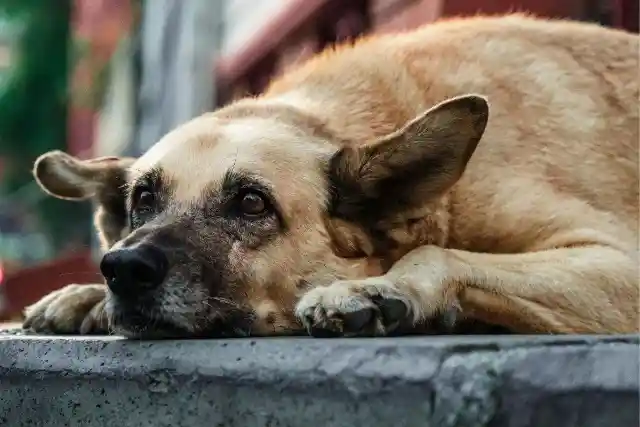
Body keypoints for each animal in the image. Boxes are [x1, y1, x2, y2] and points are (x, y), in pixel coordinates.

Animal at [22, 15, 636, 340]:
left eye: (252, 203)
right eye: (144, 200)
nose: (123, 268)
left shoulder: (619, 261)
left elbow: (437, 253)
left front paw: (378, 288)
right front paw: (85, 297)